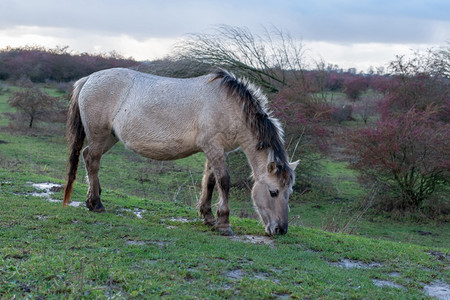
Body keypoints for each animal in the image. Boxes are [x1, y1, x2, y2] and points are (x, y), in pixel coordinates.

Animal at [61, 68, 298, 237]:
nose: (280, 230)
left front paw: (208, 217)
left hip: (109, 137)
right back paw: (97, 204)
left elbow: (210, 181)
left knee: (87, 156)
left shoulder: (215, 150)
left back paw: (93, 200)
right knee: (93, 161)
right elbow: (223, 181)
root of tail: (89, 79)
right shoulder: (213, 147)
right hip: (99, 134)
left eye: (289, 192)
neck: (229, 106)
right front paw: (223, 224)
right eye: (273, 192)